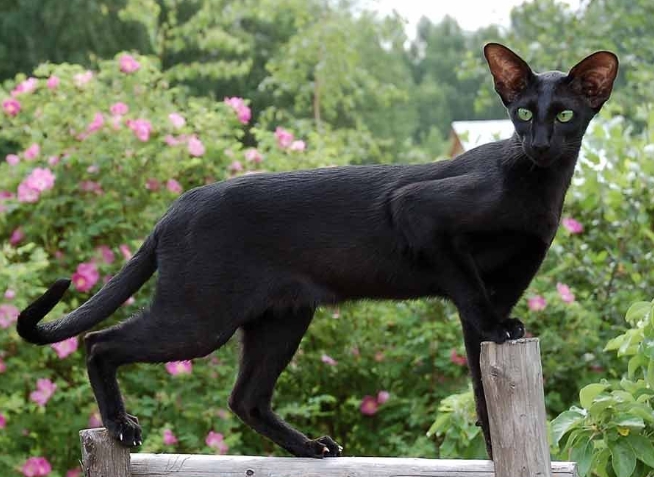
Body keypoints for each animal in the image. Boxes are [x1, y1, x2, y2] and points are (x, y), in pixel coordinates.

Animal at [16, 43, 620, 458]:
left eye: (565, 115)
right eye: (524, 112)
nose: (539, 143)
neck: (536, 186)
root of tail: (175, 207)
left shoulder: (504, 287)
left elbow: (481, 389)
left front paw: (498, 451)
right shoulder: (421, 214)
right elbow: (472, 296)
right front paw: (503, 330)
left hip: (281, 319)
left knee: (245, 398)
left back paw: (310, 448)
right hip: (199, 318)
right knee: (99, 343)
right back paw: (122, 427)